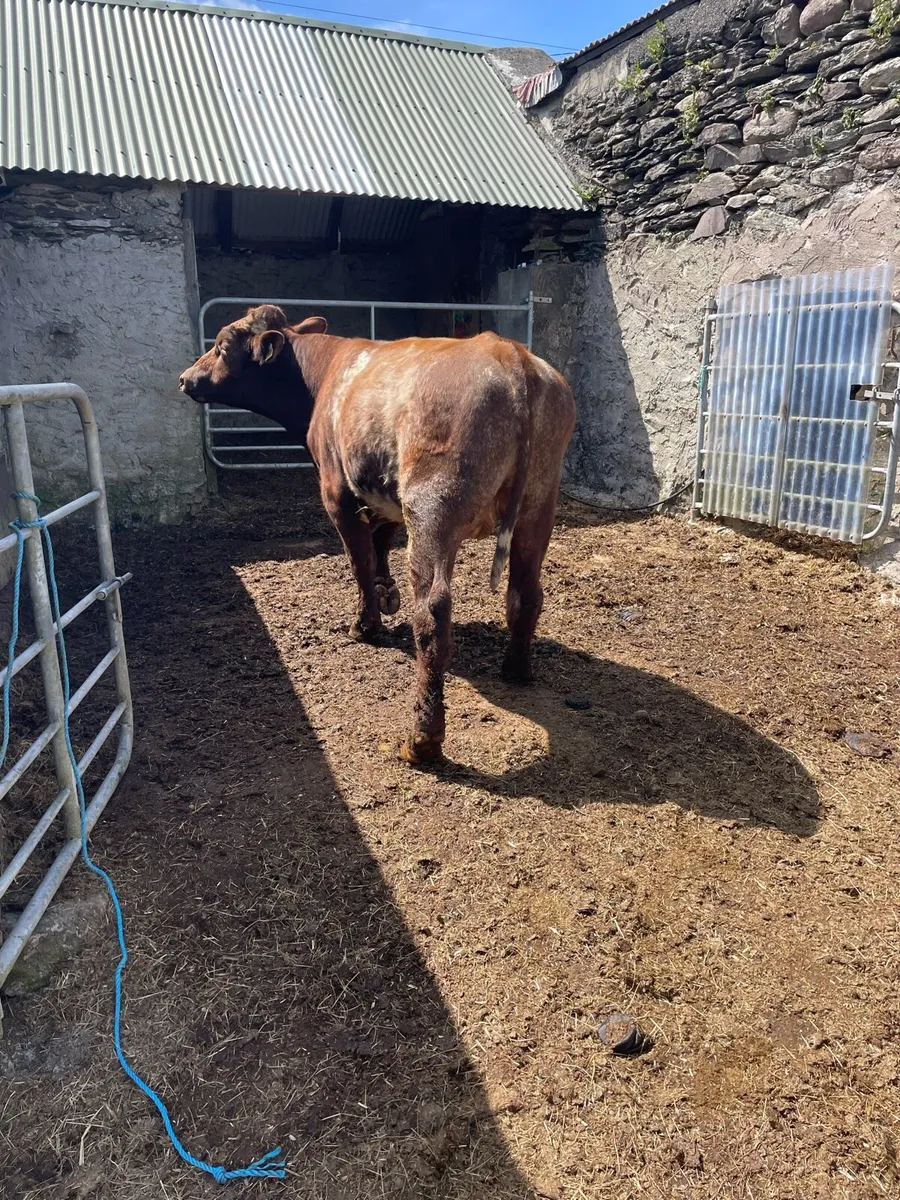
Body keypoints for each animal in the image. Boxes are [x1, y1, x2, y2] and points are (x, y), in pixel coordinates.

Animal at [179, 305, 575, 765]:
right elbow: (382, 540)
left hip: (433, 506)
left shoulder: (337, 493)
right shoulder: (385, 494)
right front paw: (388, 593)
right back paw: (516, 668)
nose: (186, 378)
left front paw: (366, 625)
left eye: (223, 345)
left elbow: (360, 562)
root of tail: (509, 353)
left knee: (433, 613)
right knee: (526, 592)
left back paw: (422, 739)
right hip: (538, 505)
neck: (323, 376)